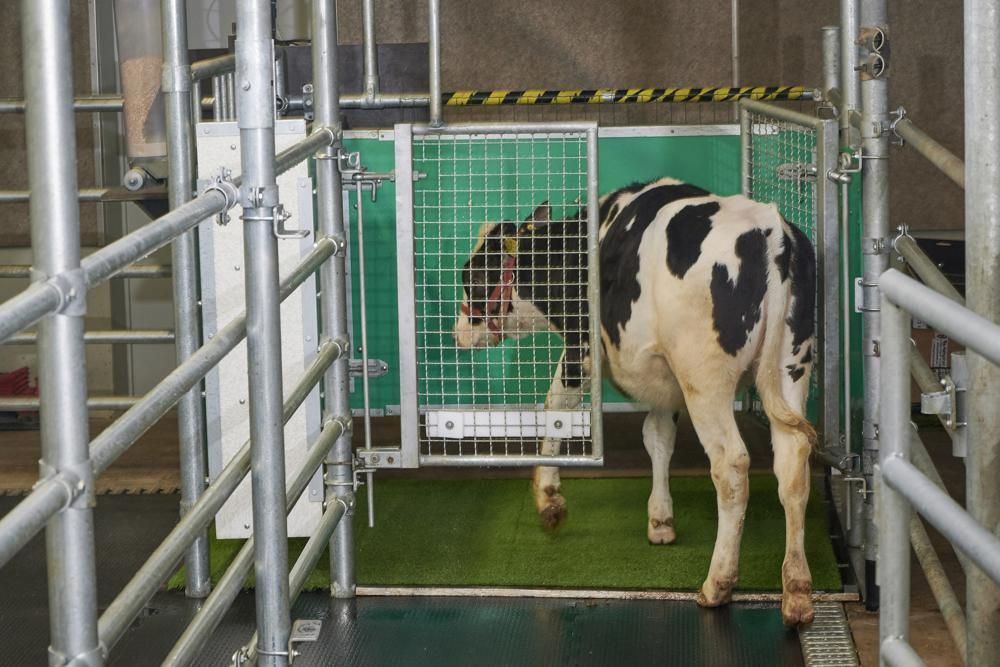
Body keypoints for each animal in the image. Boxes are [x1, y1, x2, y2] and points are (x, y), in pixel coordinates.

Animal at [454, 176, 820, 628]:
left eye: (472, 274)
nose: (457, 332)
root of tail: (771, 231)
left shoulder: (581, 348)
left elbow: (556, 406)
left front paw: (548, 498)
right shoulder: (663, 380)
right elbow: (658, 437)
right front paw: (661, 520)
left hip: (705, 377)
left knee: (731, 467)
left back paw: (717, 583)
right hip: (792, 365)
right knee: (793, 464)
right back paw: (797, 591)